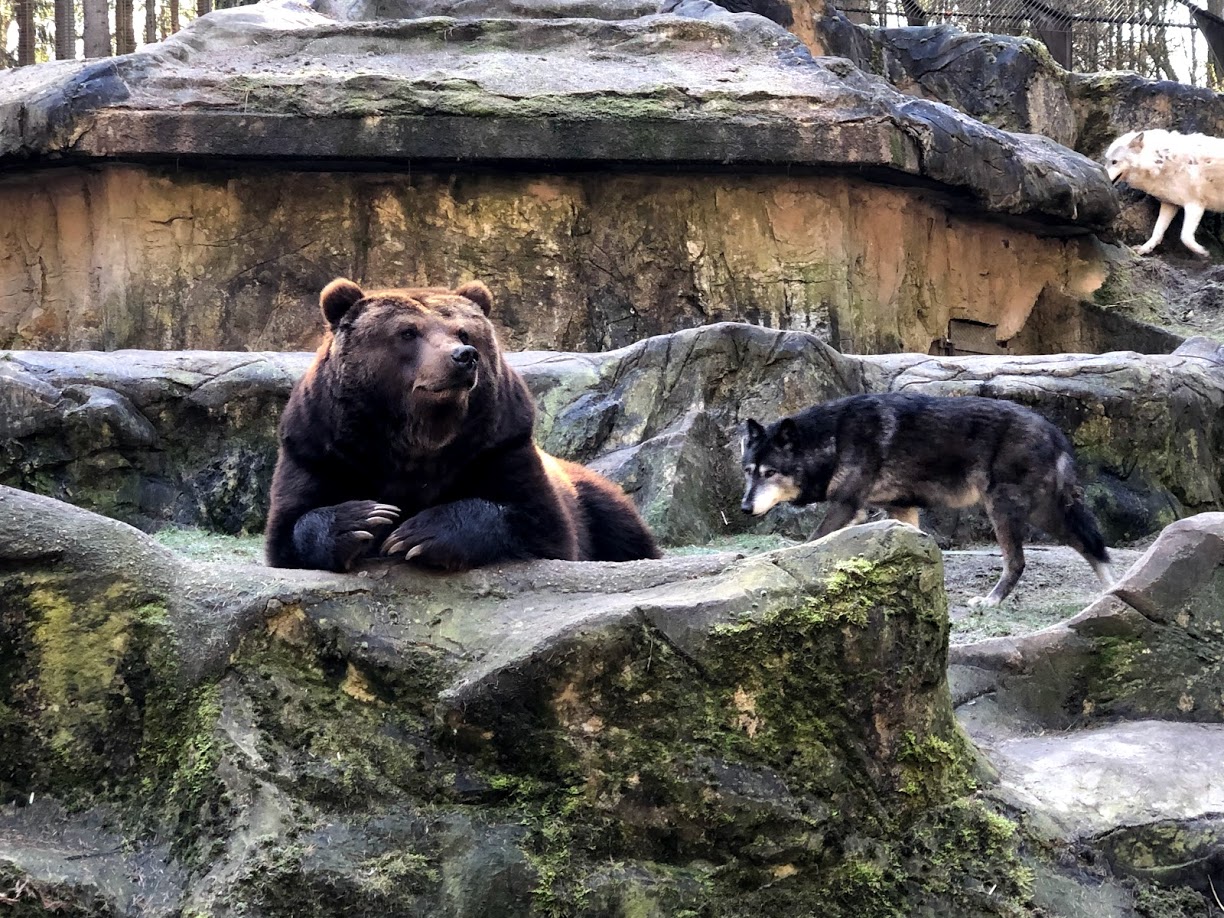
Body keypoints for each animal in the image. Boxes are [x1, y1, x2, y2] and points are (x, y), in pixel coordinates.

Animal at [264, 276, 660, 572]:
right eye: (407, 332)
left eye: (464, 332)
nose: (462, 357)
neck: (419, 436)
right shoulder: (321, 449)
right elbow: (292, 526)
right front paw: (364, 519)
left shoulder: (498, 446)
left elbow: (539, 524)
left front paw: (419, 534)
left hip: (588, 491)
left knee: (620, 526)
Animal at [740, 393, 1113, 607]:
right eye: (748, 471)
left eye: (769, 473)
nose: (744, 507)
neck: (834, 438)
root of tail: (1054, 431)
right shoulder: (899, 509)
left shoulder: (847, 506)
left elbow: (810, 542)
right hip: (1043, 512)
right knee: (1091, 544)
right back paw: (1112, 595)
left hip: (1007, 510)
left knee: (1021, 561)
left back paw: (991, 602)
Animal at [1103, 128, 1224, 258]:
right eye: (1107, 161)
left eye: (1114, 162)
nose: (1103, 175)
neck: (1160, 162)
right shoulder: (1170, 204)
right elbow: (1157, 231)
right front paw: (1144, 248)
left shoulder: (1195, 205)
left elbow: (1185, 237)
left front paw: (1202, 251)